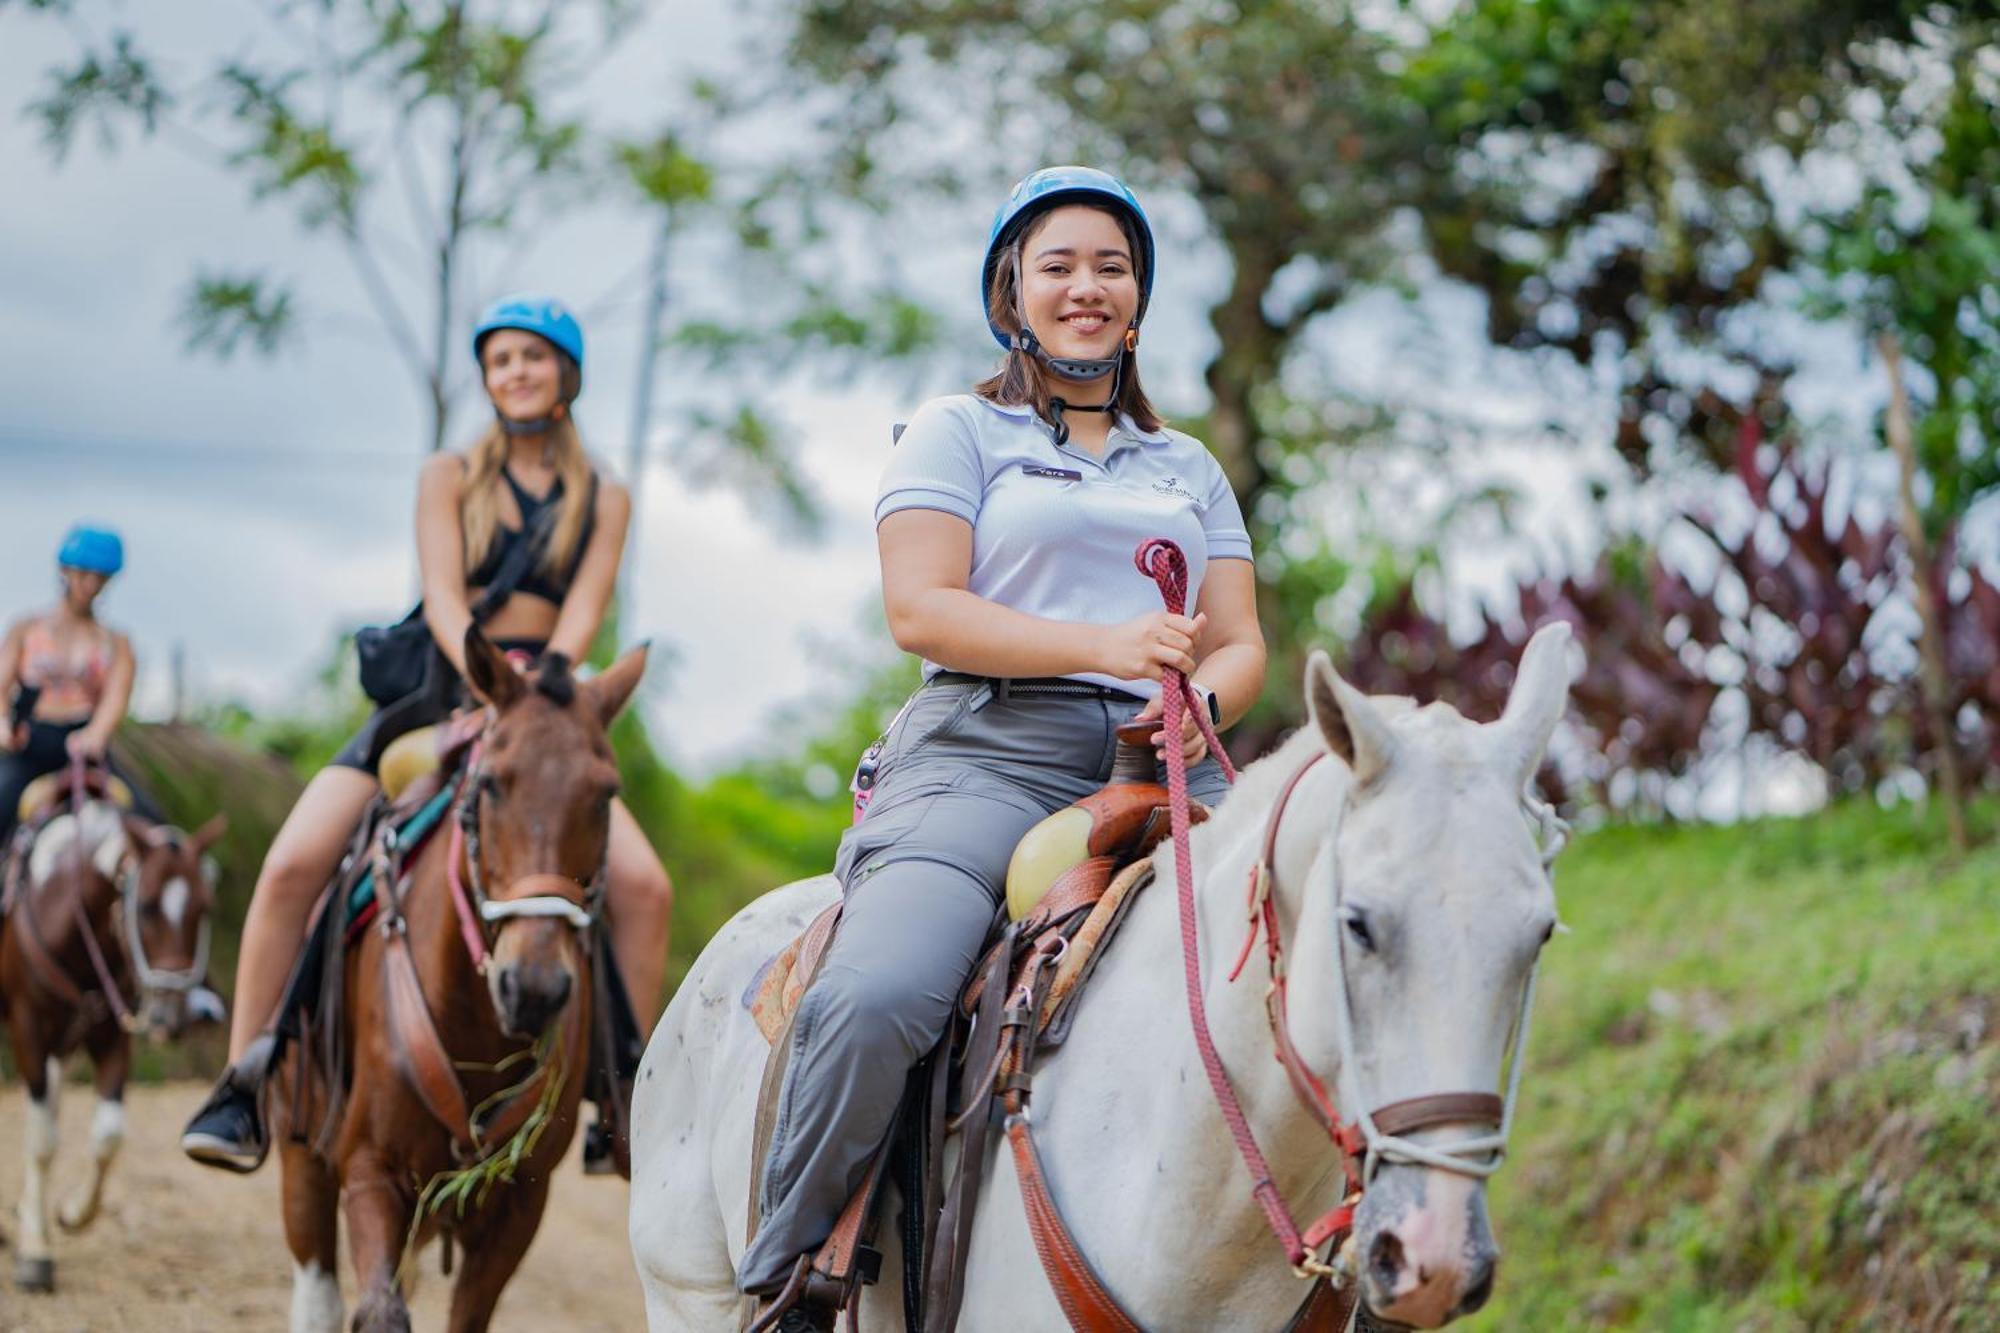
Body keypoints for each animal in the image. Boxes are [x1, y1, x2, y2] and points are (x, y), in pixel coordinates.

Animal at [0, 780, 228, 1288]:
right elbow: (42, 1140)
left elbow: (107, 1136)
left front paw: (71, 1213)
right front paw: (35, 1251)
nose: (170, 1016)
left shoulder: (110, 1033)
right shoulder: (28, 1027)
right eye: (145, 907)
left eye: (204, 909)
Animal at [274, 632, 644, 1328]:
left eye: (606, 794)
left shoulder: (518, 1207)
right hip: (301, 1139)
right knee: (316, 1286)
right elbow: (380, 1310)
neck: (475, 1024)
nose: (533, 989)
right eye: (492, 783)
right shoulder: (370, 1168)